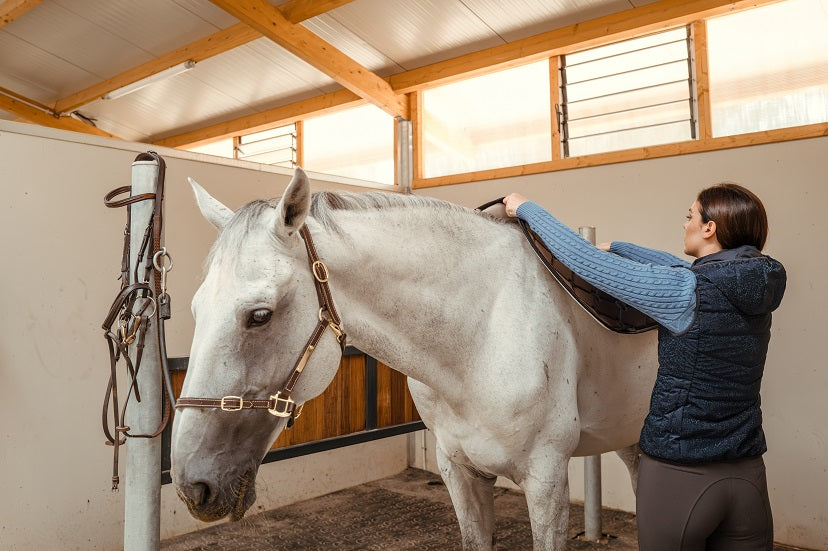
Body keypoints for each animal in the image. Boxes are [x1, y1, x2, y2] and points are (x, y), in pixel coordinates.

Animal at [171, 167, 658, 549]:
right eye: (195, 309)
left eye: (259, 315)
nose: (192, 486)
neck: (480, 333)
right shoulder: (459, 473)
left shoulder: (547, 481)